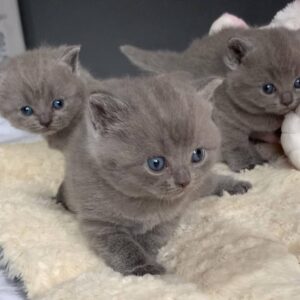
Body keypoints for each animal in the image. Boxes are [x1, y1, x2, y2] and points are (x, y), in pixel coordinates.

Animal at [61, 74, 251, 276]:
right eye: (156, 163)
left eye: (197, 154)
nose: (184, 181)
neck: (146, 203)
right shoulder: (99, 222)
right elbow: (123, 246)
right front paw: (143, 267)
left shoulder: (169, 218)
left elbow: (152, 238)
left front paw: (147, 257)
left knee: (208, 182)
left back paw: (236, 186)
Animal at [120, 27, 300, 171]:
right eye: (268, 88)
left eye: (298, 82)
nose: (287, 100)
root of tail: (182, 58)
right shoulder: (224, 116)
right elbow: (235, 142)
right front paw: (247, 164)